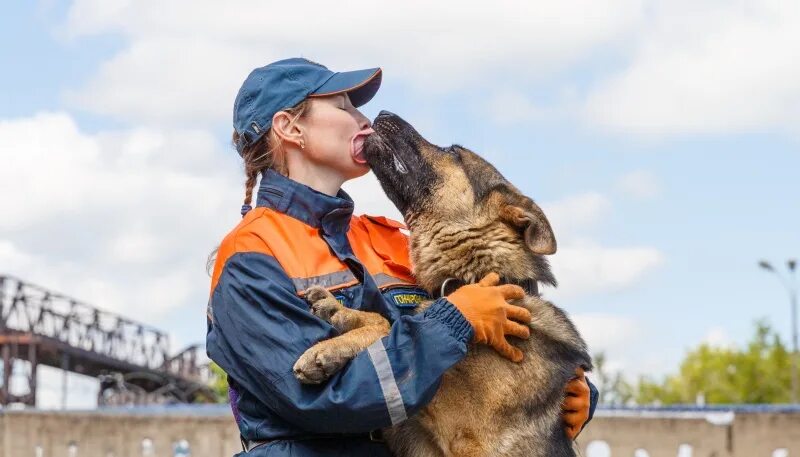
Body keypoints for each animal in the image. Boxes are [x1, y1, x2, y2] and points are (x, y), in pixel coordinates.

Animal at [294, 111, 592, 456]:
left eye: (453, 152)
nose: (381, 113)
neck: (472, 279)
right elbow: (390, 324)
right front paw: (336, 310)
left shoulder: (454, 421)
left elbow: (395, 335)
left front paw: (328, 348)